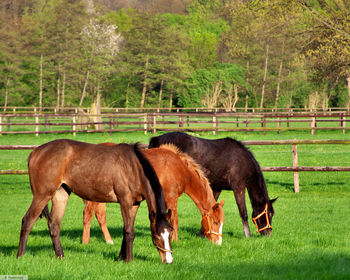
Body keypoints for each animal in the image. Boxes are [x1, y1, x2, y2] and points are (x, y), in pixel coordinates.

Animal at [17, 139, 174, 264]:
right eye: (156, 236)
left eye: (170, 234)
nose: (169, 260)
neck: (133, 167)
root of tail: (36, 152)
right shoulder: (125, 201)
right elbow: (129, 232)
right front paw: (128, 260)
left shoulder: (135, 204)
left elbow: (126, 231)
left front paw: (121, 257)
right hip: (42, 195)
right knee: (27, 221)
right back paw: (20, 256)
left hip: (60, 194)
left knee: (54, 225)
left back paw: (61, 257)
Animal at [82, 143, 224, 246]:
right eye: (215, 222)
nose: (218, 243)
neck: (179, 169)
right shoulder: (171, 198)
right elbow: (175, 220)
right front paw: (175, 241)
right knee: (87, 214)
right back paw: (85, 242)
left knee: (100, 216)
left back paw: (108, 240)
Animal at [149, 132, 278, 237]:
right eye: (269, 213)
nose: (268, 234)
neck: (243, 161)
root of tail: (157, 138)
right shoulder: (238, 187)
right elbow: (243, 212)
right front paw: (248, 235)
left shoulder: (217, 188)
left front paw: (203, 234)